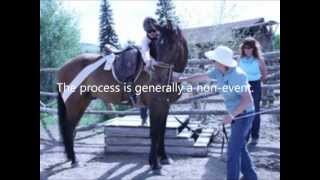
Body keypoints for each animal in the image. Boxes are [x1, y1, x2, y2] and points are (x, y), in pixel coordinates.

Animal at [56, 19, 189, 173]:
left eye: (171, 45)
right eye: (159, 44)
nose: (157, 77)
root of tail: (62, 68)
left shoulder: (165, 105)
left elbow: (162, 131)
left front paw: (164, 158)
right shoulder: (156, 105)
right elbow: (155, 133)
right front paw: (155, 164)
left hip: (83, 103)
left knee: (72, 129)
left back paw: (71, 158)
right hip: (74, 104)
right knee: (69, 128)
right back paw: (74, 160)